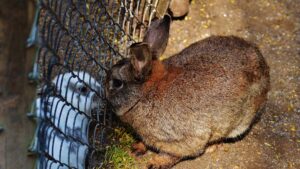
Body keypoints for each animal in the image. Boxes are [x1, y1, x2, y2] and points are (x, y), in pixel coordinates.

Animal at [105, 16, 270, 168]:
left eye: (117, 83)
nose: (105, 91)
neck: (144, 94)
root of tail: (264, 67)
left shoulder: (184, 139)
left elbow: (174, 154)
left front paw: (155, 163)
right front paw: (137, 148)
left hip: (240, 120)